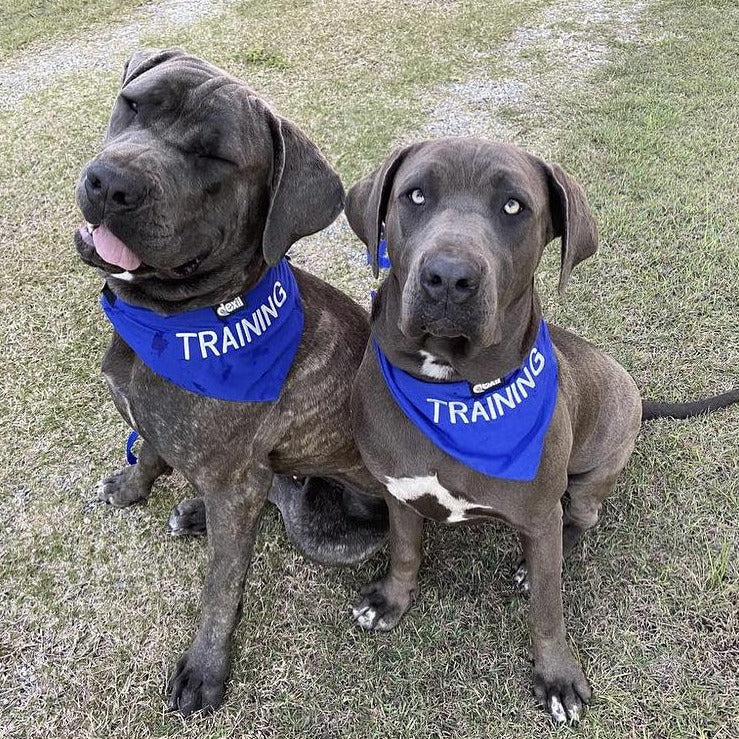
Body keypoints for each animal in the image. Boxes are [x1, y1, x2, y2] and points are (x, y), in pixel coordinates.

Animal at [73, 47, 390, 716]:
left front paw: (205, 668)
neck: (176, 323)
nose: (111, 184)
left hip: (325, 523)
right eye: (133, 104)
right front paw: (132, 486)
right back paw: (196, 510)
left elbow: (222, 586)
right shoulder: (161, 430)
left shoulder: (236, 485)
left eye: (216, 159)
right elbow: (150, 453)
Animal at [338, 137, 739, 724]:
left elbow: (548, 609)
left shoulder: (536, 512)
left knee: (580, 518)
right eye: (414, 195)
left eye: (513, 206)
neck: (455, 391)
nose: (449, 277)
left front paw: (556, 677)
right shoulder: (399, 492)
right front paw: (392, 599)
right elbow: (405, 550)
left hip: (593, 471)